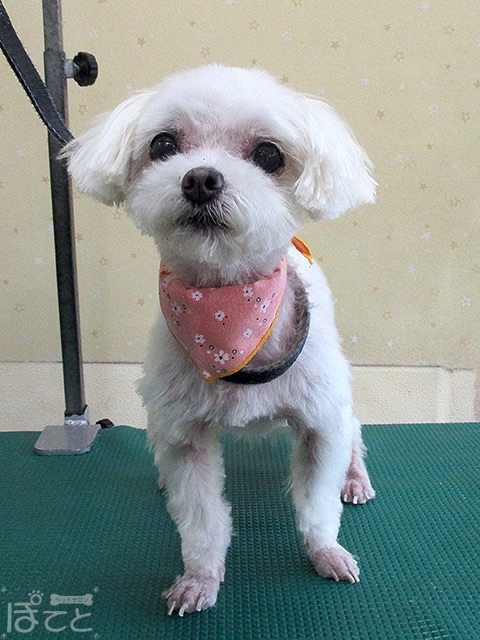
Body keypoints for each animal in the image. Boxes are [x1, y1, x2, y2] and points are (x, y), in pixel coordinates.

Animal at [62, 64, 377, 616]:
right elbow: (202, 521)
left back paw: (355, 478)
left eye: (269, 154)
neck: (228, 316)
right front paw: (199, 579)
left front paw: (325, 552)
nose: (200, 178)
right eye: (163, 144)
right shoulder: (183, 436)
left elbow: (318, 504)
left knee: (354, 431)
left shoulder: (320, 424)